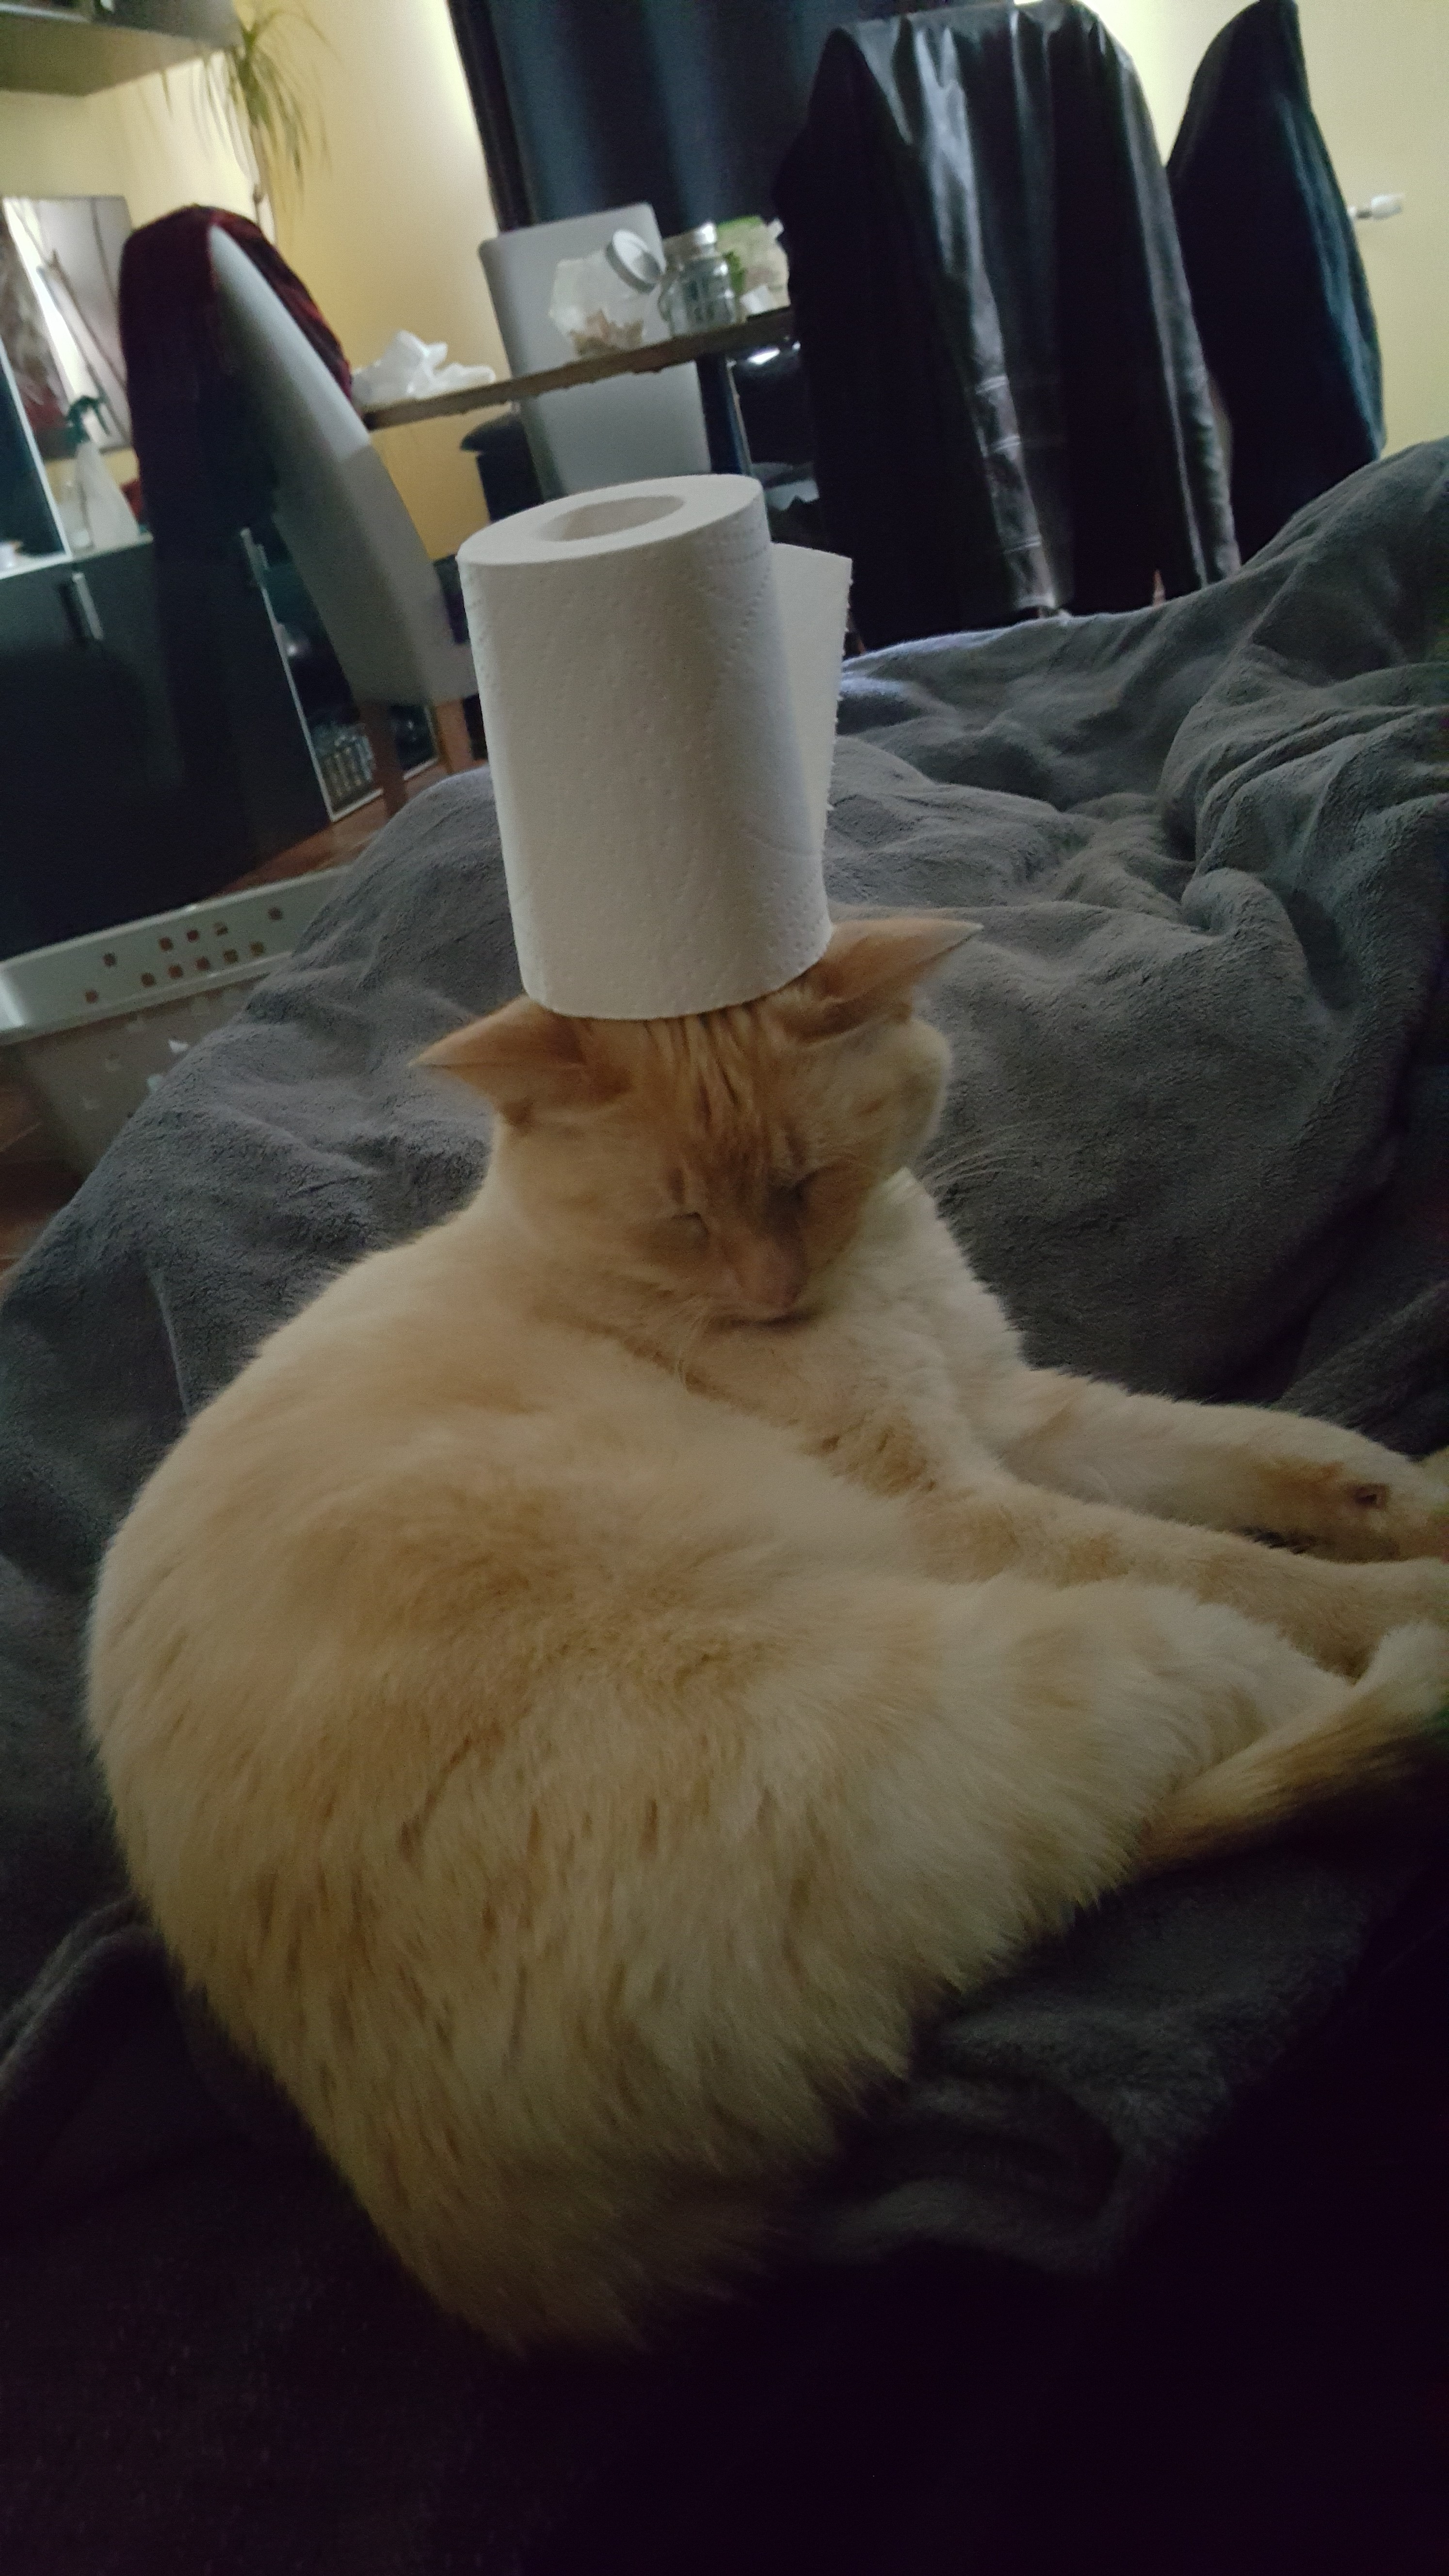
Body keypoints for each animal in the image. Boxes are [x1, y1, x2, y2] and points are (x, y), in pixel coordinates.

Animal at [86, 916, 1449, 2349]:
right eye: (683, 1222)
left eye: (806, 1184)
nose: (770, 1291)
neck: (871, 1272)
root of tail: (513, 2274)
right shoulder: (969, 1502)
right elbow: (1260, 1563)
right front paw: (1415, 1570)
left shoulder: (1014, 1412)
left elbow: (1275, 1452)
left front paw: (1412, 1493)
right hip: (1081, 1649)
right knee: (1224, 1767)